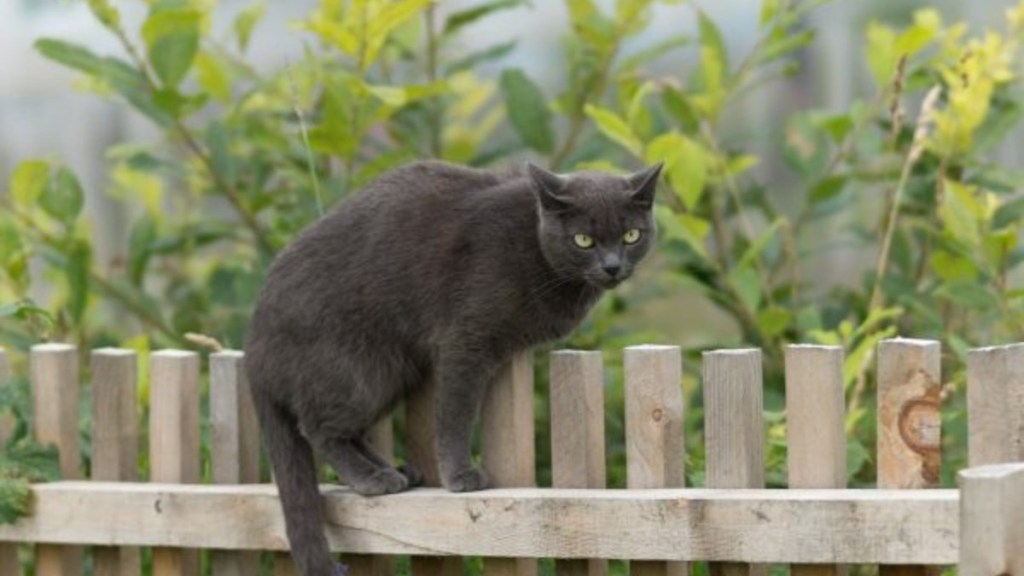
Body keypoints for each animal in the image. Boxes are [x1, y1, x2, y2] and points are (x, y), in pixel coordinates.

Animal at [247, 158, 663, 569]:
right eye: (583, 240)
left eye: (631, 235)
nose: (612, 267)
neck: (534, 244)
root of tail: (255, 340)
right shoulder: (465, 340)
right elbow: (455, 413)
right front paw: (460, 475)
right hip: (356, 371)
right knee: (317, 428)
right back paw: (372, 478)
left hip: (393, 372)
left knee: (349, 431)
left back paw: (396, 470)